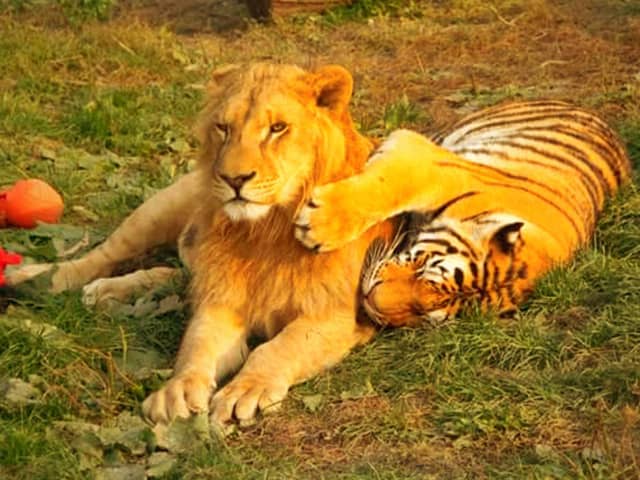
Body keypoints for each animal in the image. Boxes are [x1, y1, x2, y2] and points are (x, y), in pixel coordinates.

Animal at [294, 100, 632, 326]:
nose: (367, 303)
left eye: (426, 314)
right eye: (423, 267)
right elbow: (388, 187)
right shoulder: (421, 159)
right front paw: (319, 225)